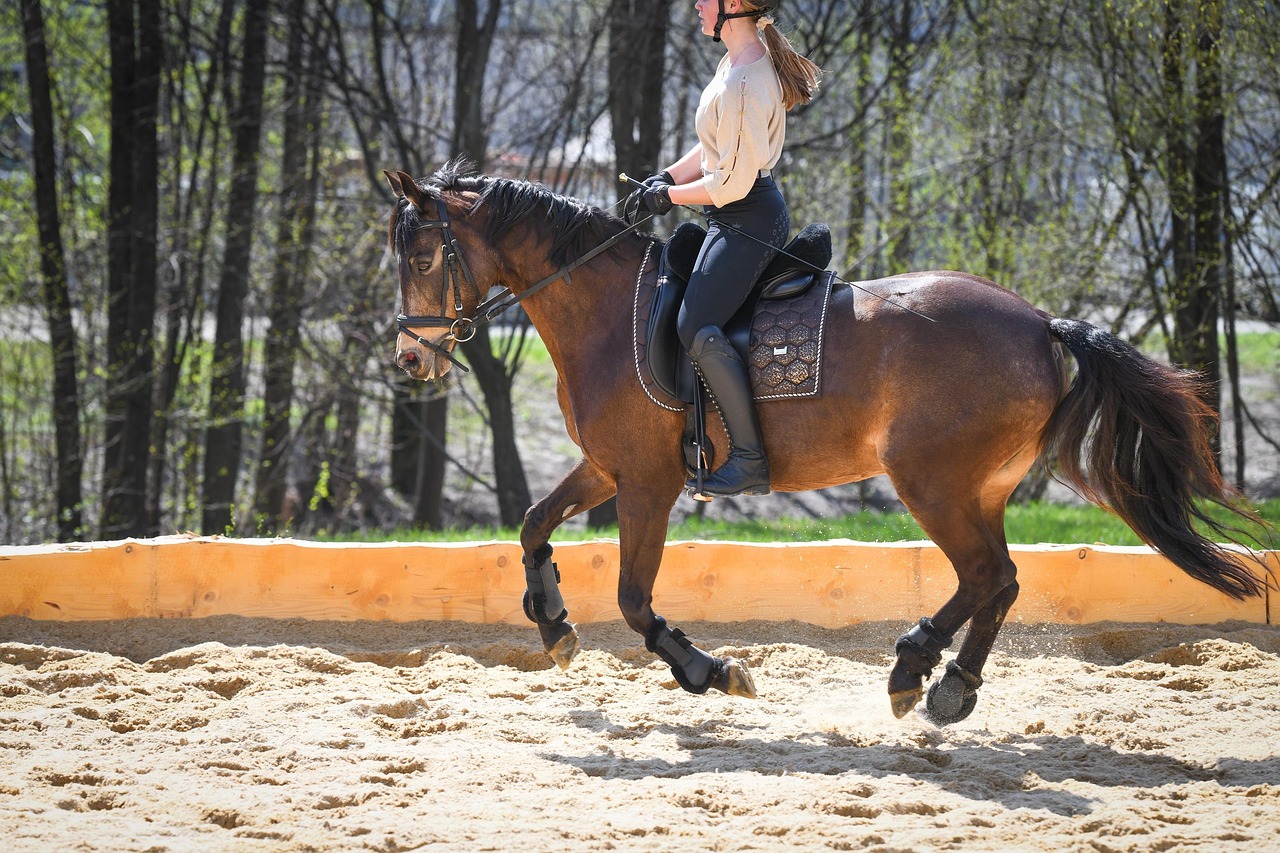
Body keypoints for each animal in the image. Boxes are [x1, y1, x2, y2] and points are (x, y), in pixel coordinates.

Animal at [382, 161, 1268, 725]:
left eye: (422, 254)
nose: (411, 359)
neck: (603, 309)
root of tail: (1040, 321)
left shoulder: (647, 482)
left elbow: (634, 598)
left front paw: (708, 670)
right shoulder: (609, 467)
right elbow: (533, 523)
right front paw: (554, 625)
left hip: (933, 482)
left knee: (989, 575)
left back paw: (919, 668)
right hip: (977, 488)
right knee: (999, 581)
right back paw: (944, 683)